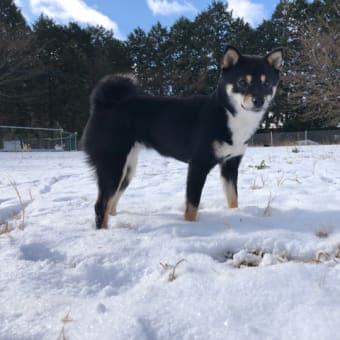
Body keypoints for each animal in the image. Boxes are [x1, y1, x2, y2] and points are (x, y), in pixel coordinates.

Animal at [83, 45, 282, 228]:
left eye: (266, 84)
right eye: (242, 82)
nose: (258, 101)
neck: (227, 114)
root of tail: (102, 104)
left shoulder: (230, 165)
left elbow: (233, 198)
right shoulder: (198, 165)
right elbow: (192, 205)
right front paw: (190, 226)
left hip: (127, 170)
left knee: (111, 202)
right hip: (112, 165)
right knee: (100, 206)